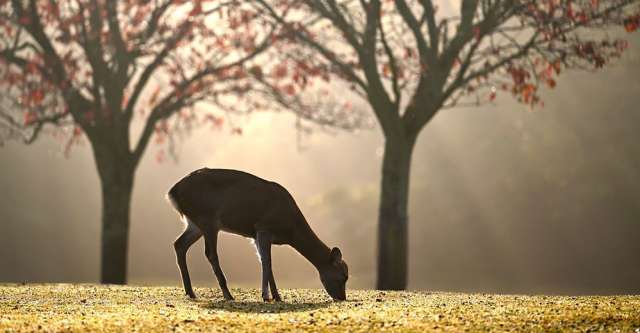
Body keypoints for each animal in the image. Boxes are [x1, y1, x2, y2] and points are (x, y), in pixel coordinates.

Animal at [164, 167, 344, 300]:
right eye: (343, 276)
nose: (342, 297)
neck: (290, 229)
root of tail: (172, 192)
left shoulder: (256, 234)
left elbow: (264, 261)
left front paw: (275, 296)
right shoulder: (264, 227)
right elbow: (267, 261)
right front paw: (267, 296)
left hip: (194, 224)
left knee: (179, 244)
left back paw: (190, 292)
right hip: (208, 219)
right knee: (210, 253)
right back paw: (228, 295)